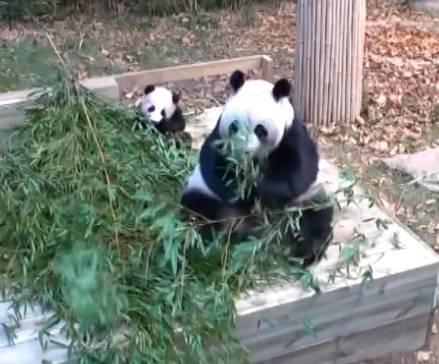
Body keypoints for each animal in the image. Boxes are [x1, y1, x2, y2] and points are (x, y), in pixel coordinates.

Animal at [180, 69, 336, 266]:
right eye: (234, 126)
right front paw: (244, 190)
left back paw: (305, 253)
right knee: (199, 211)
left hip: (307, 200)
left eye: (260, 130)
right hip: (206, 197)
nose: (243, 151)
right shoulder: (220, 138)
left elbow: (300, 172)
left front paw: (260, 192)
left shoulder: (292, 134)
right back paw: (214, 242)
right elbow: (214, 166)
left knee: (314, 217)